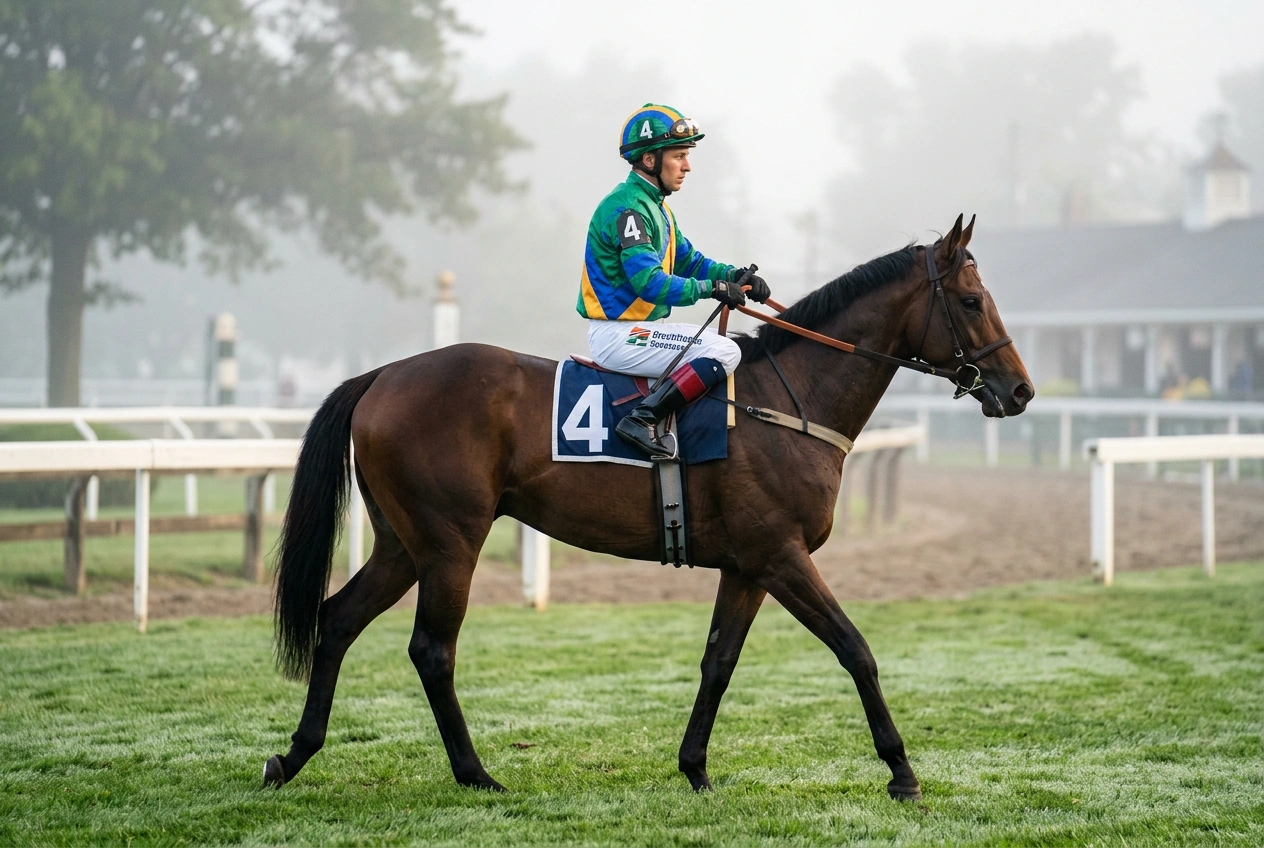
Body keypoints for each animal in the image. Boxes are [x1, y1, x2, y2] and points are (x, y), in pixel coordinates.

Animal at [263, 214, 1033, 801]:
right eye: (971, 302)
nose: (1019, 390)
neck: (786, 403)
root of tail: (382, 375)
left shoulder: (747, 567)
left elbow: (719, 661)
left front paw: (695, 768)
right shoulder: (781, 556)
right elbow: (855, 649)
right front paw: (902, 771)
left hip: (403, 544)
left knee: (337, 620)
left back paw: (292, 755)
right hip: (451, 543)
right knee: (432, 649)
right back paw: (475, 773)